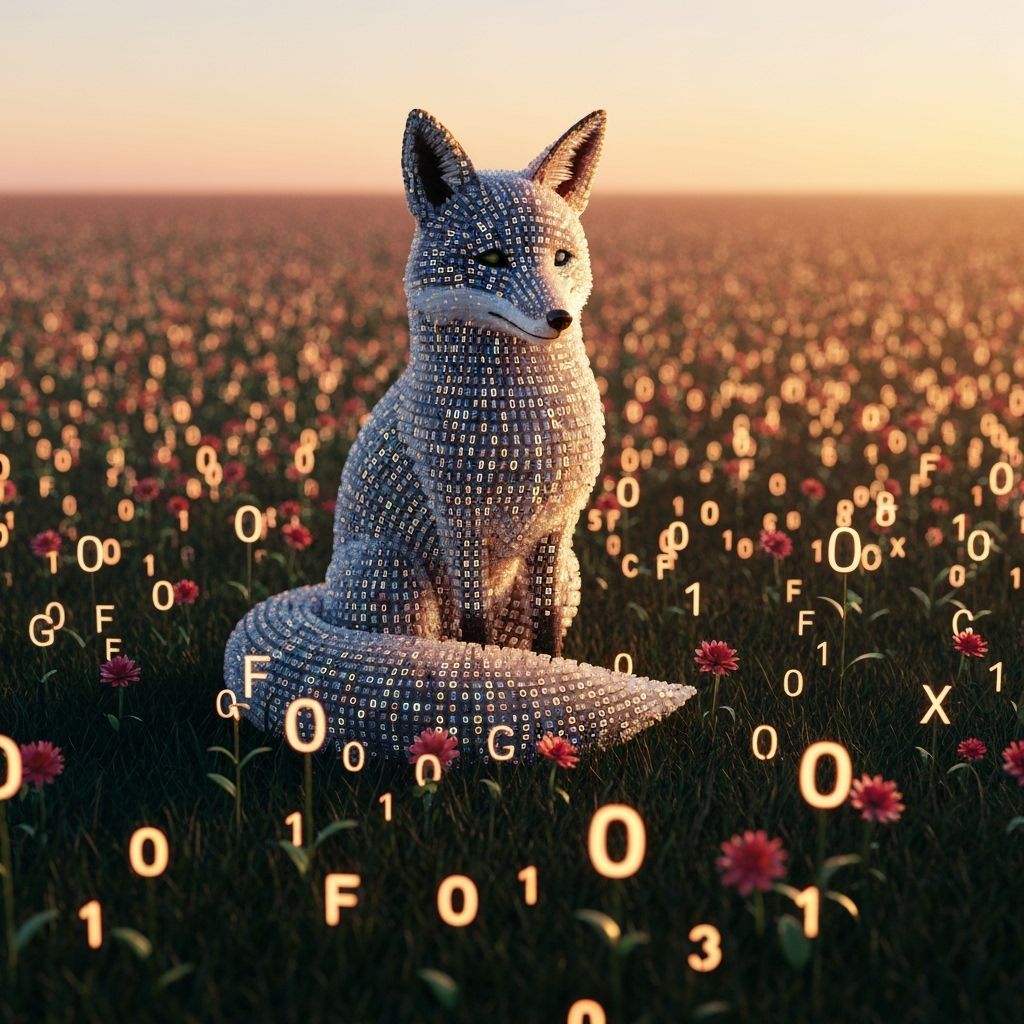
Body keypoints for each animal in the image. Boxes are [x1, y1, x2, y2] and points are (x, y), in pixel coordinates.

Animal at [223, 109, 695, 761]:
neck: (525, 427)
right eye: (493, 258)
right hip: (390, 572)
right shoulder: (459, 521)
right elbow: (474, 640)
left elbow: (545, 642)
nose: (559, 319)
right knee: (422, 648)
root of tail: (320, 595)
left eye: (562, 258)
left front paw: (541, 690)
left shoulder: (556, 530)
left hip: (569, 569)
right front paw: (490, 692)